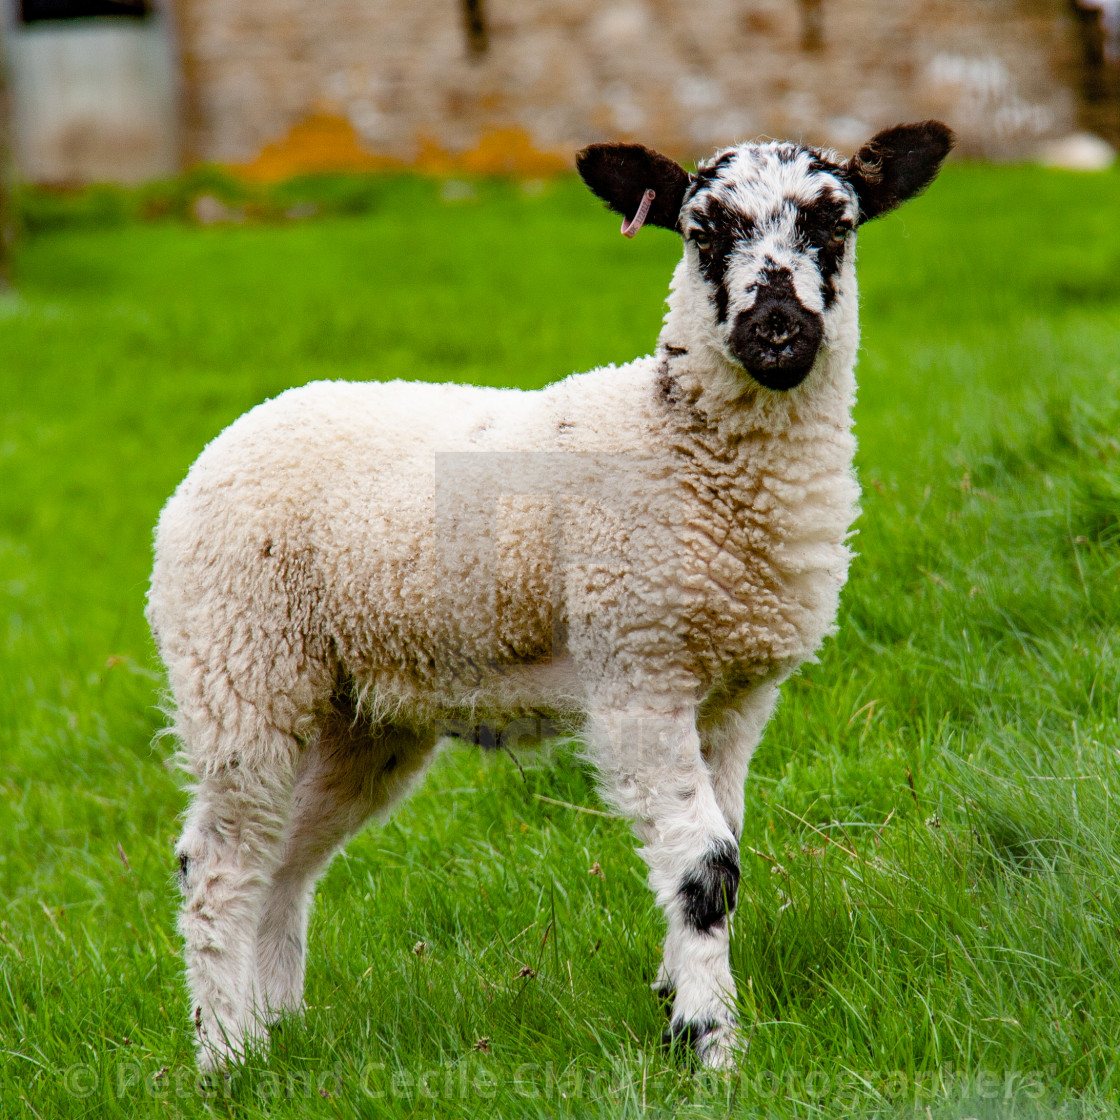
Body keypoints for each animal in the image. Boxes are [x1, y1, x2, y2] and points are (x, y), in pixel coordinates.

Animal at [146, 118, 954, 1070]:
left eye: (837, 225)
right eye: (702, 231)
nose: (778, 329)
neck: (684, 448)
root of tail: (225, 442)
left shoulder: (736, 696)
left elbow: (717, 844)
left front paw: (678, 996)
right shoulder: (637, 666)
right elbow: (706, 866)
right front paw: (712, 1045)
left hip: (362, 714)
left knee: (286, 859)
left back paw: (277, 1031)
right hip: (240, 665)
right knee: (218, 859)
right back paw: (225, 1055)